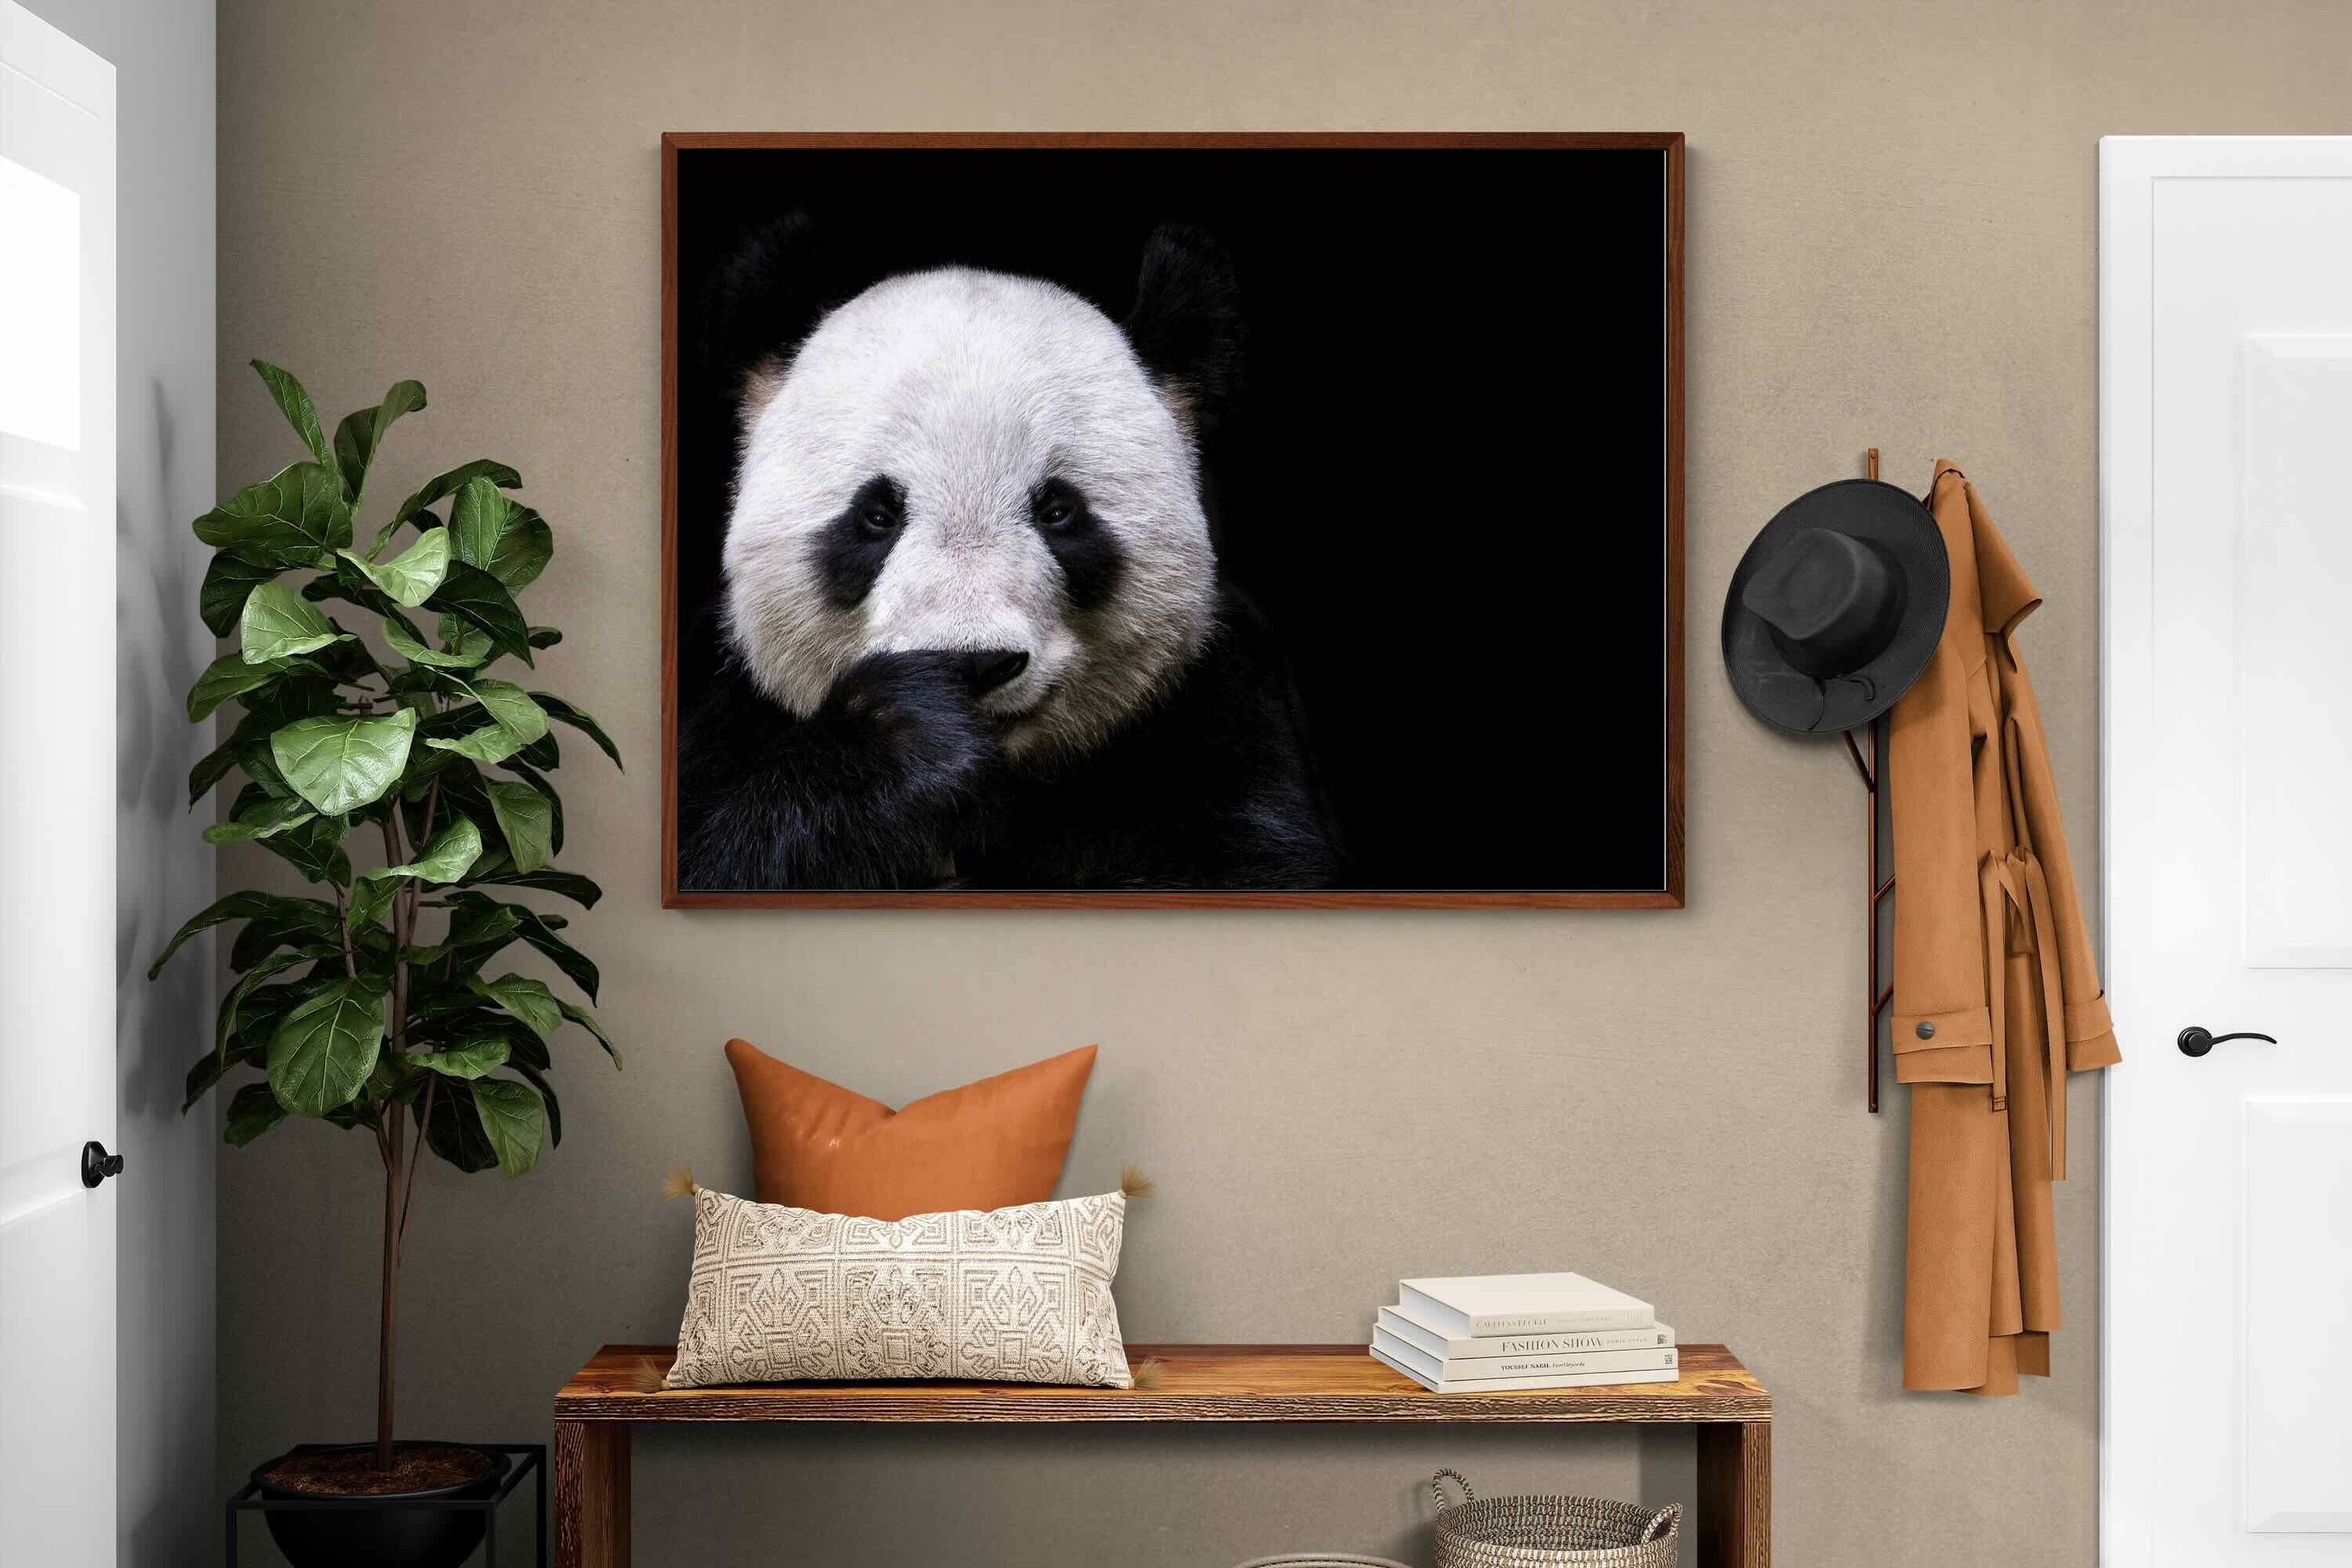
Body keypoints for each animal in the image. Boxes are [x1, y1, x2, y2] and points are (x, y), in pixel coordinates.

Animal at [675, 218, 1341, 892]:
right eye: (877, 516)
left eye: (1058, 511)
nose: (975, 663)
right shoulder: (718, 705)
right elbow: (720, 854)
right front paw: (908, 734)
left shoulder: (1221, 707)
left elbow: (1247, 864)